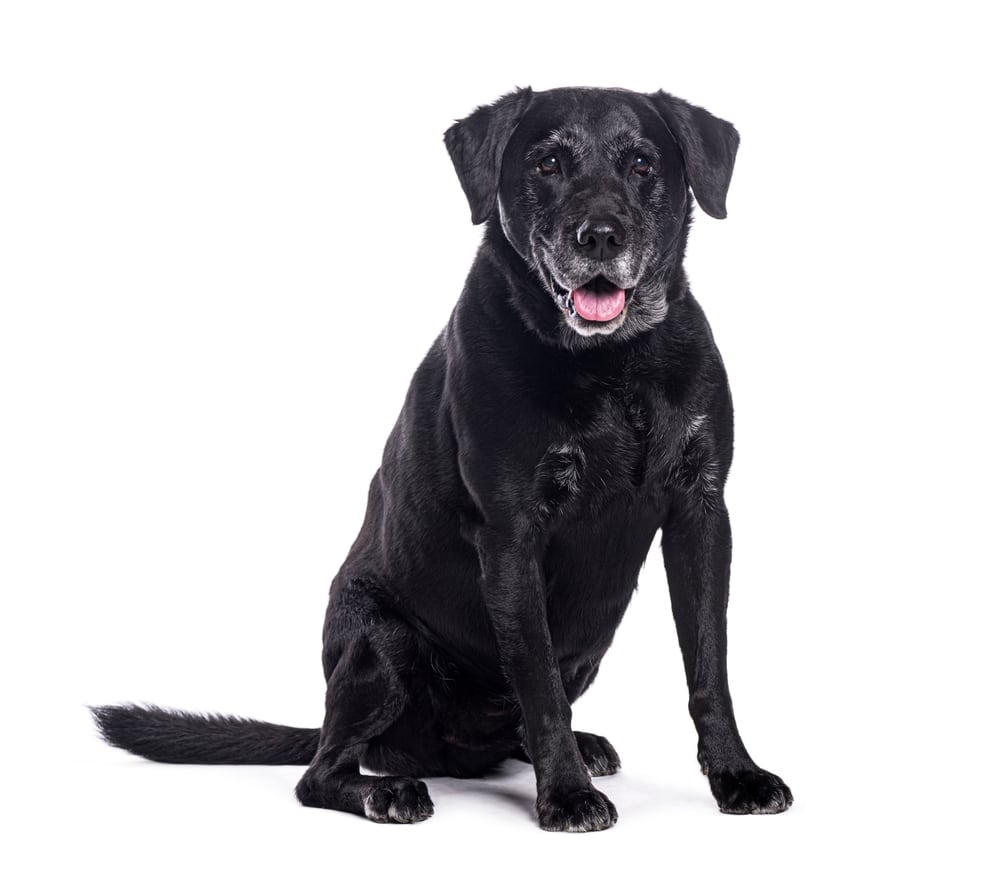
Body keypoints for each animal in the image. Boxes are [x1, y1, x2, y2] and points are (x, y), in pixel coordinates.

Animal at [93, 86, 793, 832]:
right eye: (547, 163)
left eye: (641, 165)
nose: (600, 236)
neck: (613, 365)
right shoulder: (512, 536)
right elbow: (538, 682)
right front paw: (565, 795)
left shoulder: (701, 516)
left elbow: (709, 668)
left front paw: (736, 775)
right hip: (385, 645)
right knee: (323, 772)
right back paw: (388, 791)